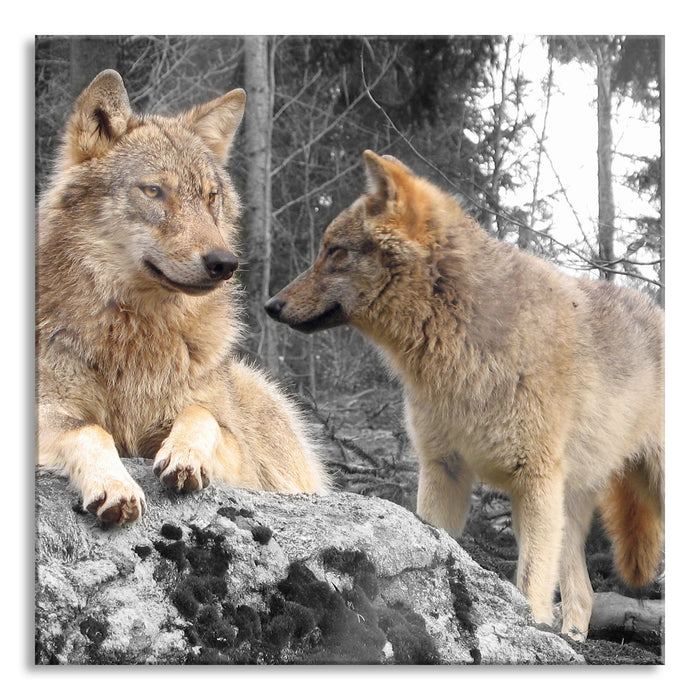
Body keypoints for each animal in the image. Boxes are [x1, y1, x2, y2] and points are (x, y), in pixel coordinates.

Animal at [36, 70, 328, 526]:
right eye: (155, 191)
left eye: (211, 197)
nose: (224, 263)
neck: (137, 330)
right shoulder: (49, 410)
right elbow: (90, 430)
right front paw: (114, 484)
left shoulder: (236, 451)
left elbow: (201, 415)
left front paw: (185, 455)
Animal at [265, 150, 664, 640]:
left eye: (334, 251)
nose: (271, 306)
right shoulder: (443, 469)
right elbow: (437, 545)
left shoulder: (533, 483)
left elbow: (530, 584)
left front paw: (525, 631)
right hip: (569, 511)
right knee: (584, 595)